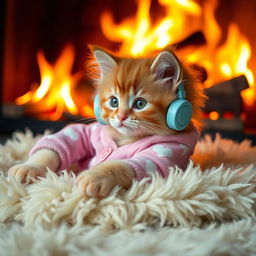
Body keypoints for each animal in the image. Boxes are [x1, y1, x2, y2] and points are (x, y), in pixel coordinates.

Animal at [8, 46, 206, 198]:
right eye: (114, 102)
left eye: (140, 104)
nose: (121, 117)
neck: (126, 139)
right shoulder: (90, 132)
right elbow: (61, 142)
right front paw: (28, 167)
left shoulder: (168, 151)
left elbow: (123, 164)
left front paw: (94, 176)